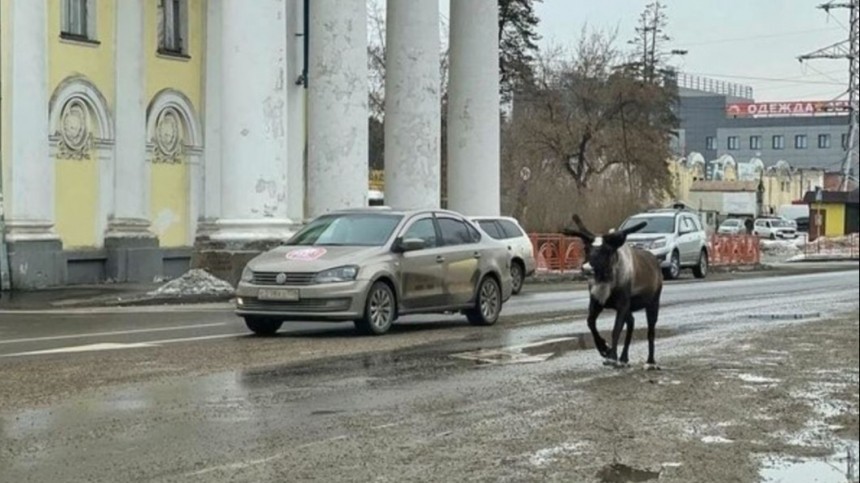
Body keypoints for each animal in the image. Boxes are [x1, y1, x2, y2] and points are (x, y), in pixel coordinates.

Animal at [564, 216, 664, 370]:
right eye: (587, 248)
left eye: (606, 250)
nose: (586, 268)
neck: (606, 279)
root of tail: (656, 262)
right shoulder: (597, 302)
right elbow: (590, 322)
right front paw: (605, 349)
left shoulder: (622, 304)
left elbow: (616, 329)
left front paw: (611, 357)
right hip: (630, 308)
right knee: (631, 323)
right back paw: (624, 358)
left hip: (653, 303)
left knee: (651, 331)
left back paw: (650, 362)